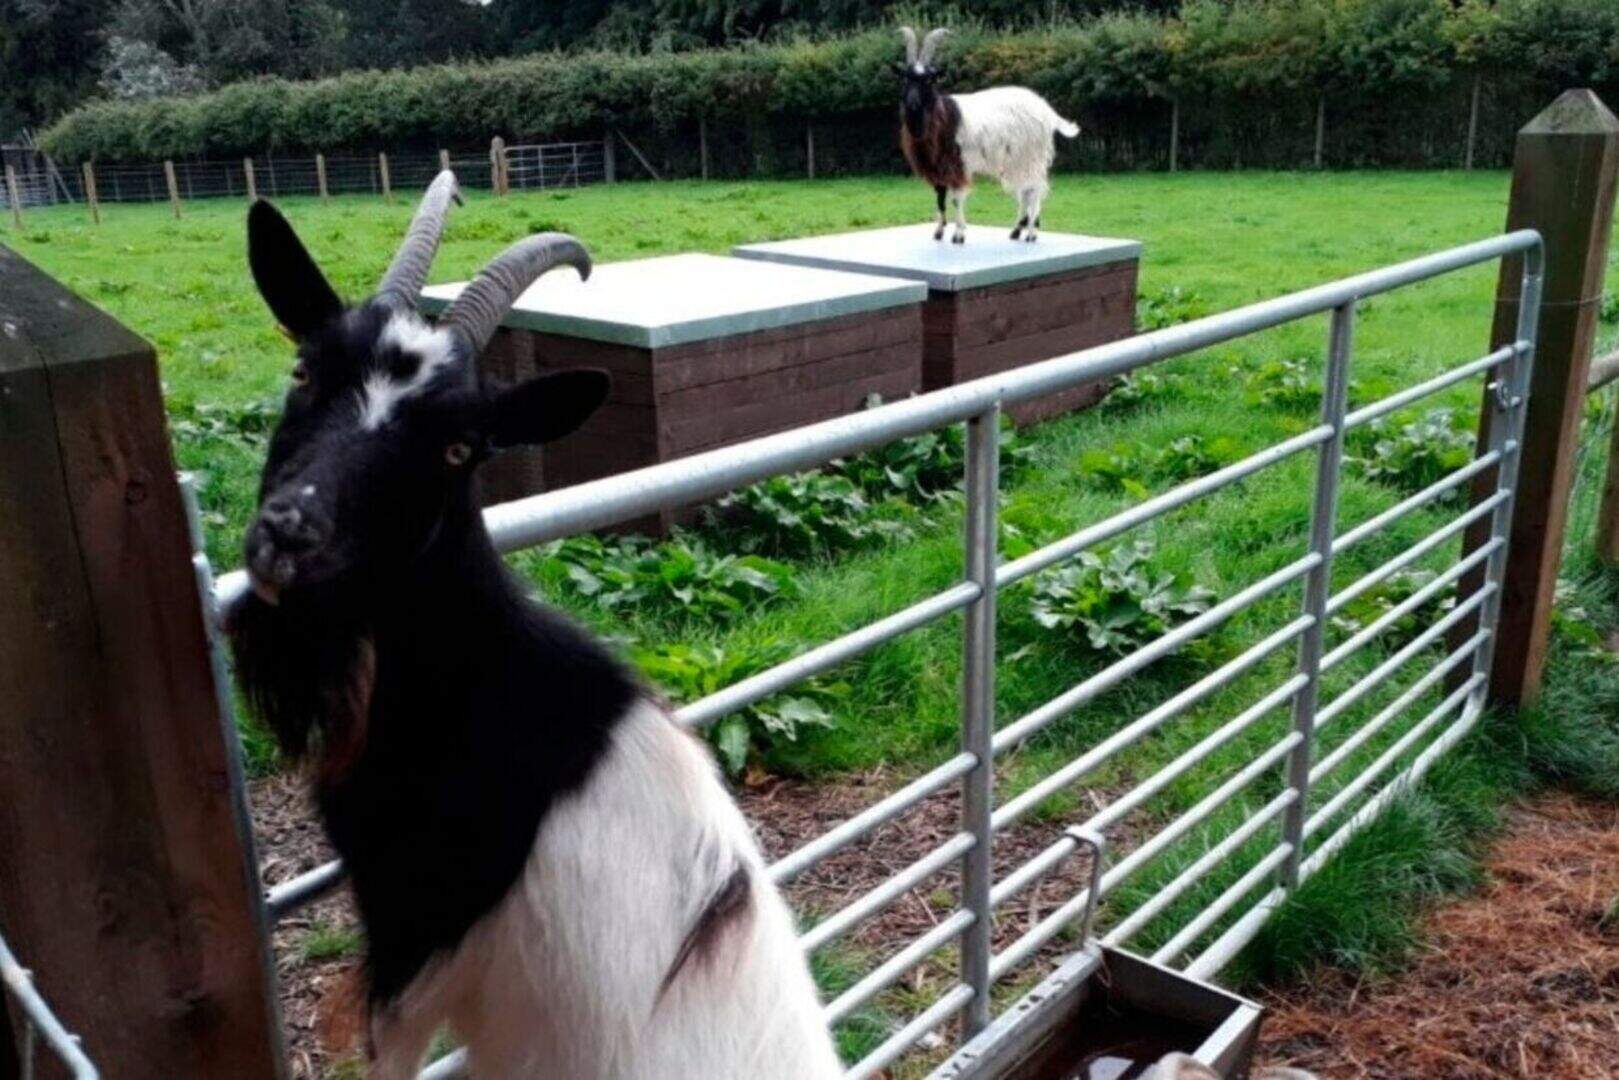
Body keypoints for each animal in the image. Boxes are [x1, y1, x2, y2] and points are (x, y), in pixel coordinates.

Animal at [895, 26, 1080, 243]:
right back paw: (1018, 230)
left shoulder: (958, 165)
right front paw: (939, 232)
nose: (912, 104)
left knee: (1034, 190)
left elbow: (956, 199)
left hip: (1031, 157)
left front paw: (958, 235)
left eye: (928, 80)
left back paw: (1031, 233)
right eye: (905, 78)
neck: (943, 117)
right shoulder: (938, 168)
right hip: (1015, 161)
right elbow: (940, 198)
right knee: (1025, 191)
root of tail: (1046, 110)